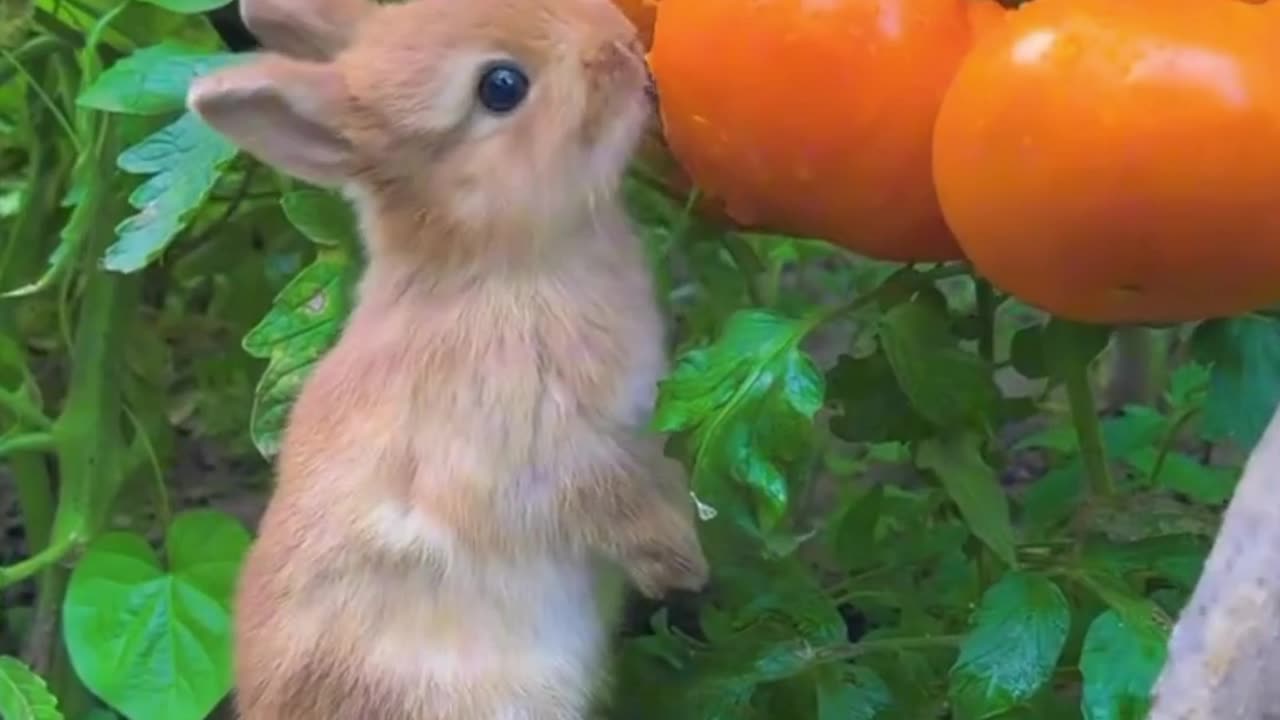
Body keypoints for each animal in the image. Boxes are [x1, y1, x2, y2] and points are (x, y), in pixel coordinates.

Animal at [183, 0, 711, 712]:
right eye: (501, 87)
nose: (623, 44)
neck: (494, 264)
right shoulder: (544, 445)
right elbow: (615, 504)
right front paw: (685, 562)